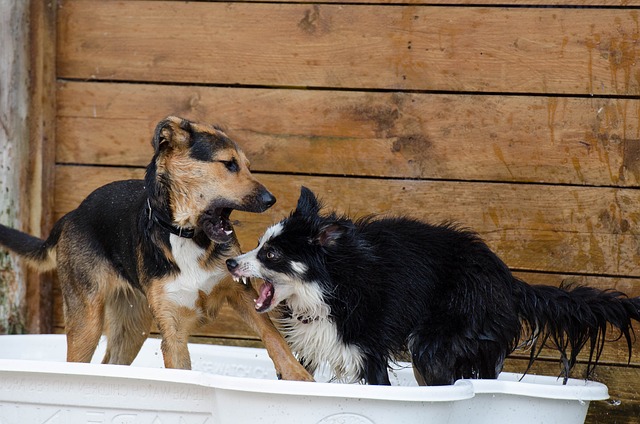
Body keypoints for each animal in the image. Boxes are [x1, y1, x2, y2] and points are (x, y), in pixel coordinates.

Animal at [0, 116, 312, 380]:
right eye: (229, 164)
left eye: (247, 165)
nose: (270, 199)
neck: (186, 233)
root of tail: (72, 214)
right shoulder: (173, 329)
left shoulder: (241, 292)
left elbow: (273, 335)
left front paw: (297, 376)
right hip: (86, 321)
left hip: (132, 326)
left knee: (111, 361)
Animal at [228, 187, 640, 386]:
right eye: (259, 245)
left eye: (272, 254)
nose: (231, 262)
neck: (330, 284)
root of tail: (504, 276)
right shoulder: (311, 349)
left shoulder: (368, 352)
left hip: (436, 339)